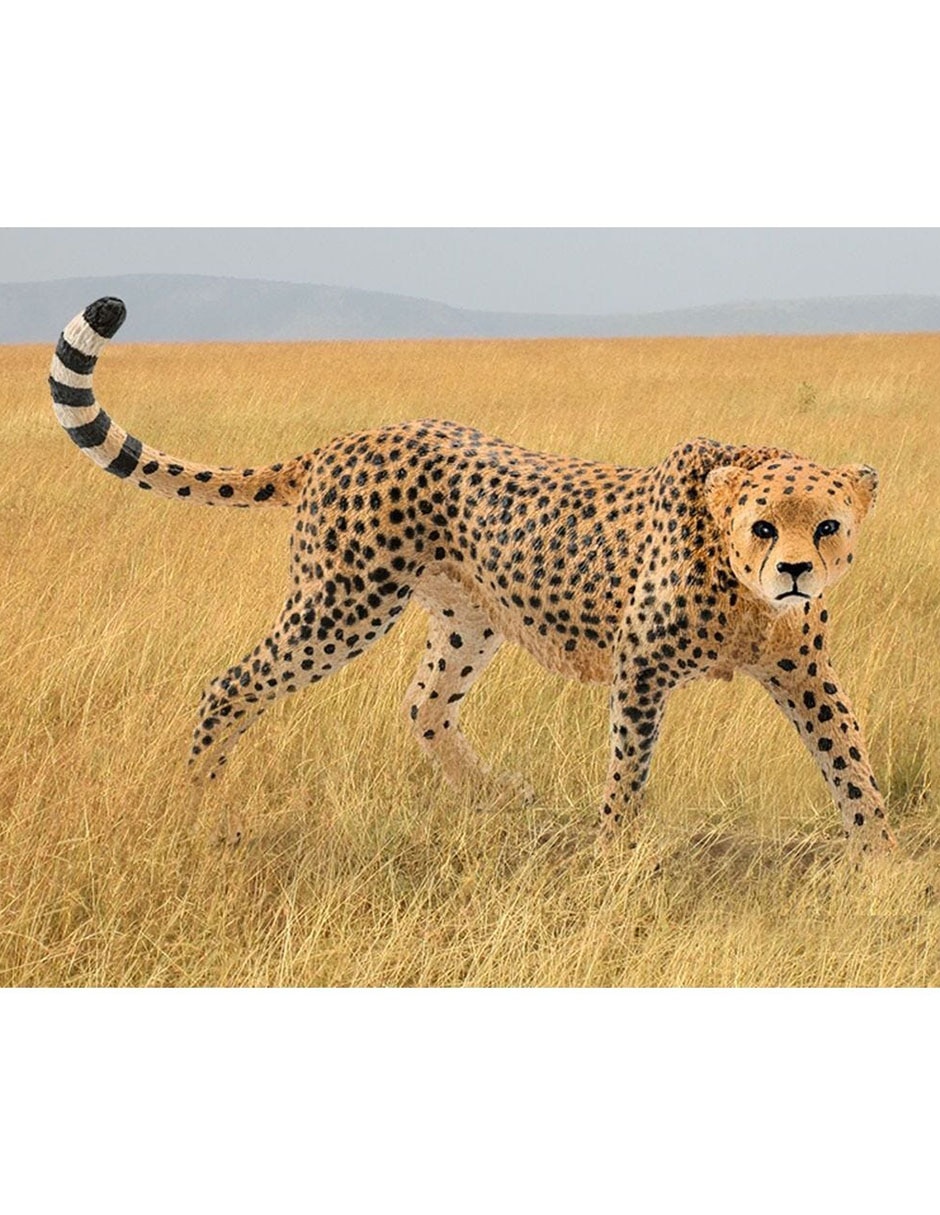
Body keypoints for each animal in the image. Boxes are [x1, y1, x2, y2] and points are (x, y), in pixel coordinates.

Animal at [48, 296, 896, 854]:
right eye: (763, 526)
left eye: (827, 525)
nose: (795, 571)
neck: (744, 590)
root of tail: (350, 438)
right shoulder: (642, 666)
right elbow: (629, 766)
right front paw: (615, 851)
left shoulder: (803, 670)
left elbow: (849, 759)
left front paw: (882, 861)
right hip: (342, 604)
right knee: (230, 684)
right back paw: (203, 802)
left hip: (467, 616)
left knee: (423, 703)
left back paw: (497, 794)